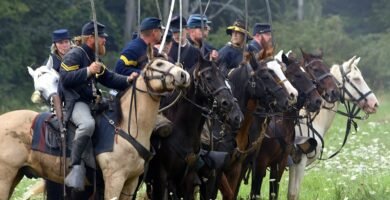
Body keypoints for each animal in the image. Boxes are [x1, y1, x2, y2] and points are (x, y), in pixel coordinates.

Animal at [0, 49, 190, 199]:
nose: (184, 75)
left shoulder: (130, 183)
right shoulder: (114, 179)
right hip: (5, 178)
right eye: (159, 63)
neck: (126, 126)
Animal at [250, 52, 322, 200]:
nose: (318, 101)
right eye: (298, 75)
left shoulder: (280, 163)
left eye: (307, 74)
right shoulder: (260, 163)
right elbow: (256, 192)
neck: (280, 125)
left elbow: (274, 192)